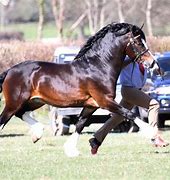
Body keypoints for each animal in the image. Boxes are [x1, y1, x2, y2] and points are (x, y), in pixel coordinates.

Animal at [0, 22, 160, 157]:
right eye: (138, 42)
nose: (153, 63)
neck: (99, 65)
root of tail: (9, 71)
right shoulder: (105, 101)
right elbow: (129, 114)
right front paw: (153, 135)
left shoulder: (91, 105)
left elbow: (80, 124)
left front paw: (71, 150)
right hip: (14, 103)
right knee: (4, 119)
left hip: (35, 101)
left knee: (21, 113)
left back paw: (37, 134)